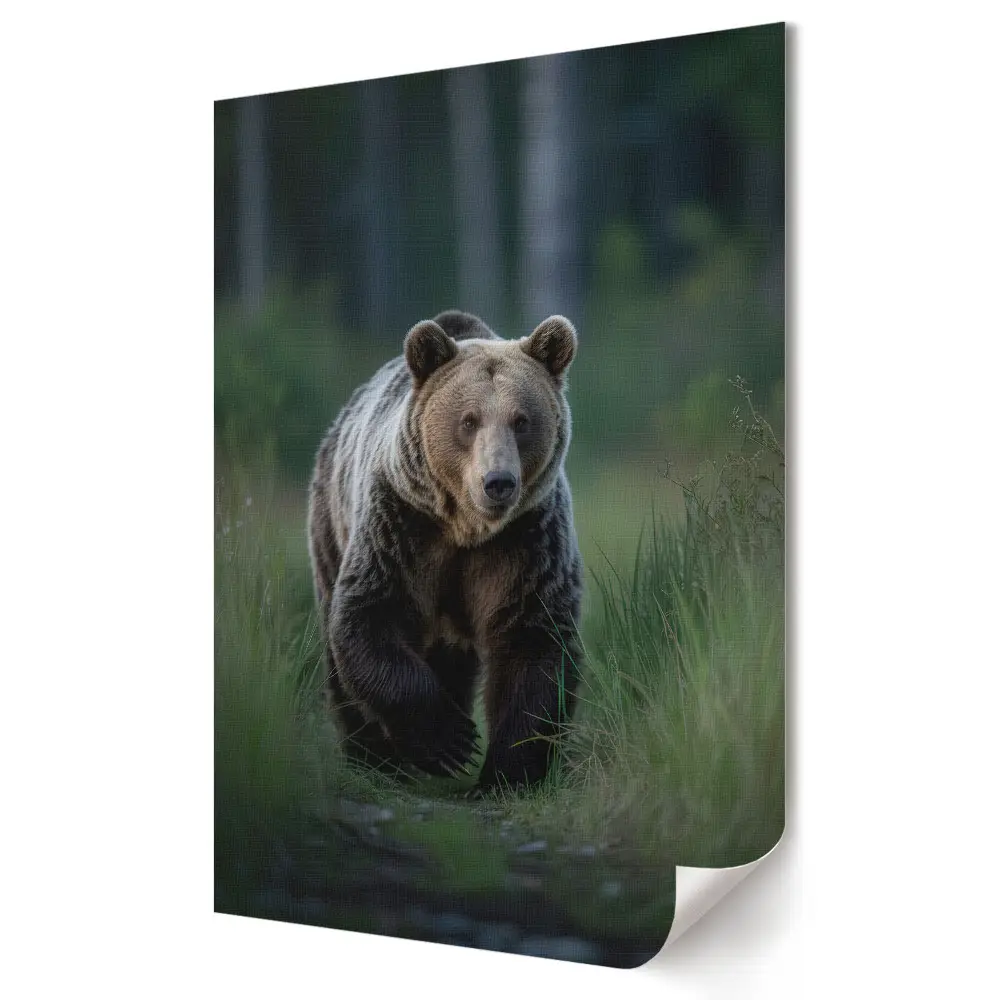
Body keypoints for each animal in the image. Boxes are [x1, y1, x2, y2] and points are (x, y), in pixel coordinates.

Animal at [307, 310, 583, 793]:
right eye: (468, 420)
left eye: (521, 420)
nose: (498, 482)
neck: (466, 528)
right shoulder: (400, 526)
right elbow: (371, 617)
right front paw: (451, 742)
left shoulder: (526, 543)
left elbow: (533, 638)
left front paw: (506, 773)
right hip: (331, 520)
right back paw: (373, 759)